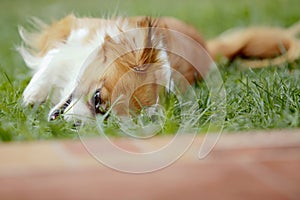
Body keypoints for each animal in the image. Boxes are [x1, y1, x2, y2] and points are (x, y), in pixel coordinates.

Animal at [18, 14, 300, 122]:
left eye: (107, 121)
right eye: (97, 98)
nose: (73, 126)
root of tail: (208, 46)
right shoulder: (71, 29)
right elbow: (53, 56)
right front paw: (33, 94)